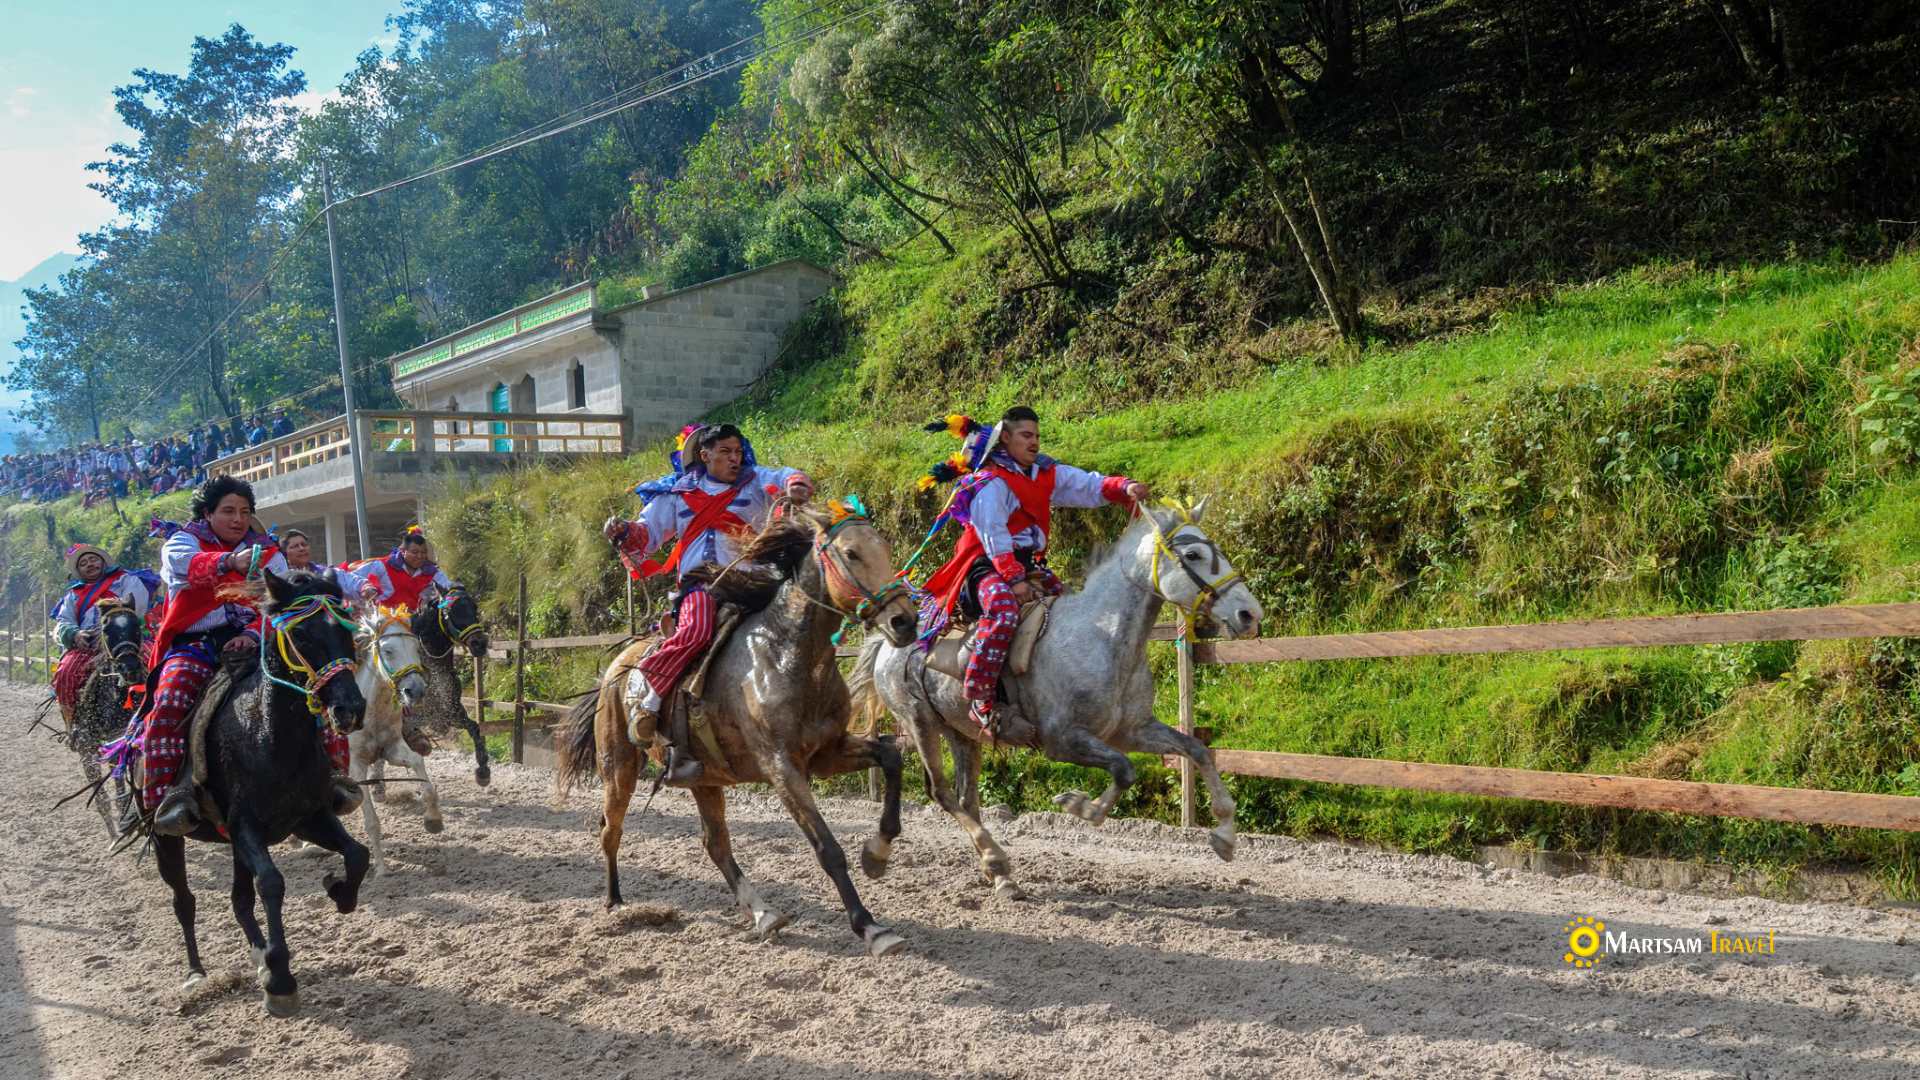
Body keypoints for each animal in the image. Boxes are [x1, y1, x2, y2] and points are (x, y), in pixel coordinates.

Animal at [151, 568, 368, 1014]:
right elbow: (271, 883)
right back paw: (197, 973)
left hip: (234, 844)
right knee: (184, 901)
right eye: (300, 635)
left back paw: (259, 957)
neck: (265, 733)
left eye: (346, 631)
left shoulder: (308, 818)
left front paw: (339, 891)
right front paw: (282, 979)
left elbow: (358, 854)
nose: (350, 709)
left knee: (239, 900)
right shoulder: (246, 826)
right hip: (168, 840)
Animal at [349, 611, 435, 868]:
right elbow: (372, 822)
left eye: (417, 648)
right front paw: (381, 868)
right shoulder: (356, 765)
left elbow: (419, 767)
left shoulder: (392, 748)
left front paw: (434, 820)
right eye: (388, 650)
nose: (416, 690)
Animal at [405, 588, 491, 780]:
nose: (480, 643)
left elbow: (475, 728)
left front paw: (483, 769)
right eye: (450, 612)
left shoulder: (450, 713)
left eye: (475, 607)